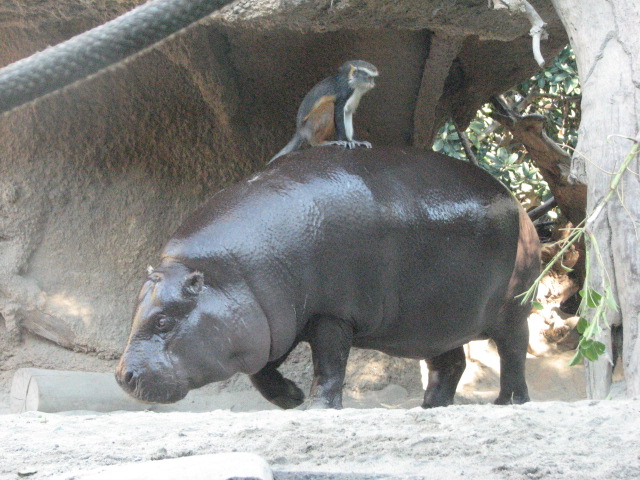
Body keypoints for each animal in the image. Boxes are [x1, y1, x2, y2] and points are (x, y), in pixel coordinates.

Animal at [116, 146, 540, 409]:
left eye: (164, 320)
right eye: (135, 312)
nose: (122, 376)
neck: (230, 274)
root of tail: (517, 202)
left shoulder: (330, 314)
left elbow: (330, 363)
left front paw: (315, 407)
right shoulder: (274, 319)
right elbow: (261, 372)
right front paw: (292, 398)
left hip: (512, 309)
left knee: (513, 352)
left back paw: (509, 402)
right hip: (434, 322)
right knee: (450, 362)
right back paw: (430, 406)